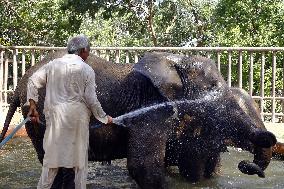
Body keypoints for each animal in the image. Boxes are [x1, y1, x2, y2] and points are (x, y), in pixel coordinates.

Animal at [0, 49, 276, 188]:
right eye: (212, 88)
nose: (246, 165)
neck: (177, 60)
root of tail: (20, 84)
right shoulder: (152, 107)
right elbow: (144, 166)